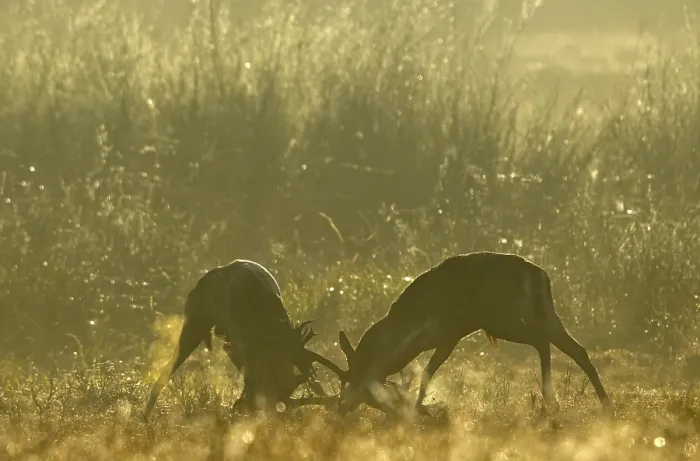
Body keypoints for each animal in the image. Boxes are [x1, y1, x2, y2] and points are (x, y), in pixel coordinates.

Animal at [332, 251, 614, 416]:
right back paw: (604, 405)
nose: (343, 407)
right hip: (541, 312)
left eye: (355, 375)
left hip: (502, 317)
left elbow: (425, 372)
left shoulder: (450, 334)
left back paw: (552, 401)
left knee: (543, 341)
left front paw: (417, 410)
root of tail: (538, 275)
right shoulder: (447, 338)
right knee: (576, 348)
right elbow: (427, 371)